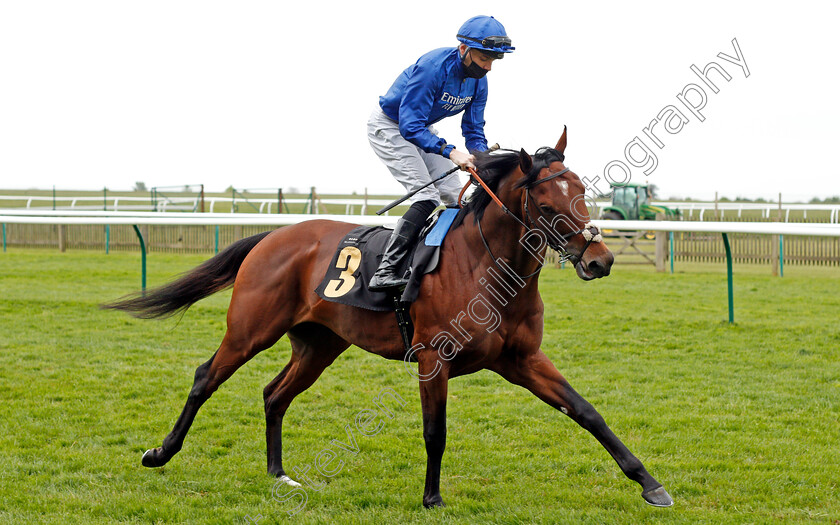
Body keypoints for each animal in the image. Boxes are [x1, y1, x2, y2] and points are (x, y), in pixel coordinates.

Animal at [103, 129, 676, 510]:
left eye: (583, 192)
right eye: (549, 199)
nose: (600, 259)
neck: (486, 265)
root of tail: (273, 236)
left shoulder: (523, 359)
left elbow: (587, 412)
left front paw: (650, 484)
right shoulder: (432, 358)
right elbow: (435, 430)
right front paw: (432, 498)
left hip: (319, 344)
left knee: (274, 394)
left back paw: (279, 474)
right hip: (250, 329)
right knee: (206, 377)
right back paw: (160, 453)